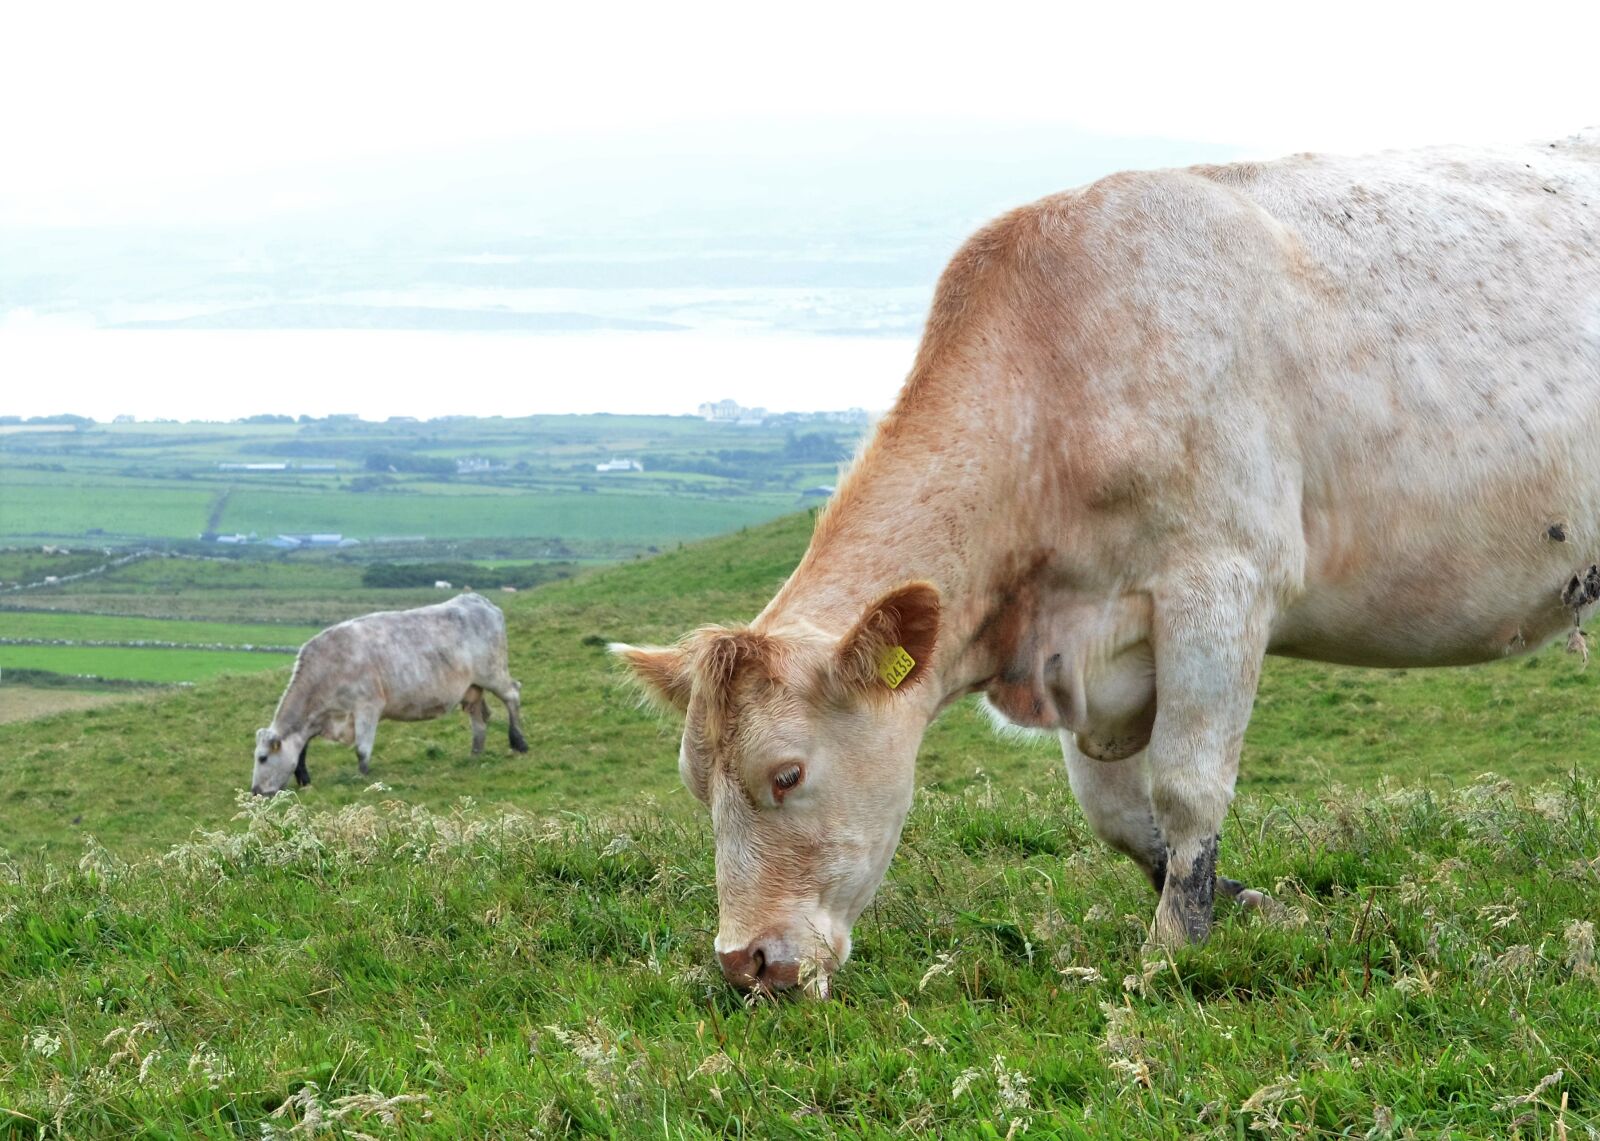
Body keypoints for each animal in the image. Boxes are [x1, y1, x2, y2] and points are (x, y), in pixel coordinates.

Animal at [251, 592, 527, 795]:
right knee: (479, 717)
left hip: (493, 672)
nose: (255, 791)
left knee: (512, 694)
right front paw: (304, 777)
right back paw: (475, 753)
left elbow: (362, 748)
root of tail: (478, 600)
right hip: (472, 687)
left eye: (263, 758)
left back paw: (519, 743)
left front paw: (362, 776)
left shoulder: (367, 706)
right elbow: (303, 747)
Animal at [615, 130, 1600, 993]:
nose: (745, 962)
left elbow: (1187, 789)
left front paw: (1173, 949)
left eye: (787, 773)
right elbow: (1119, 816)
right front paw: (1245, 904)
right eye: (694, 781)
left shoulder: (1221, 584)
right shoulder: (1077, 654)